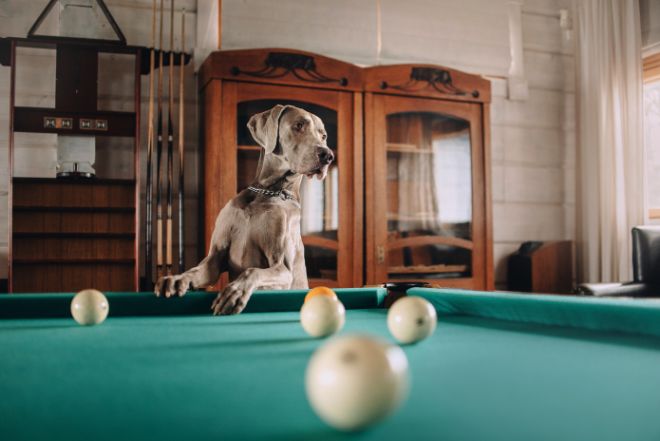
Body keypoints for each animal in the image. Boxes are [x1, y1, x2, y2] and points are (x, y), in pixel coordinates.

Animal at [155, 105, 336, 312]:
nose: (328, 155)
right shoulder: (214, 257)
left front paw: (235, 291)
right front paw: (177, 278)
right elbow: (196, 270)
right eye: (298, 125)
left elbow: (252, 271)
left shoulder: (283, 268)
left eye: (323, 135)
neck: (267, 192)